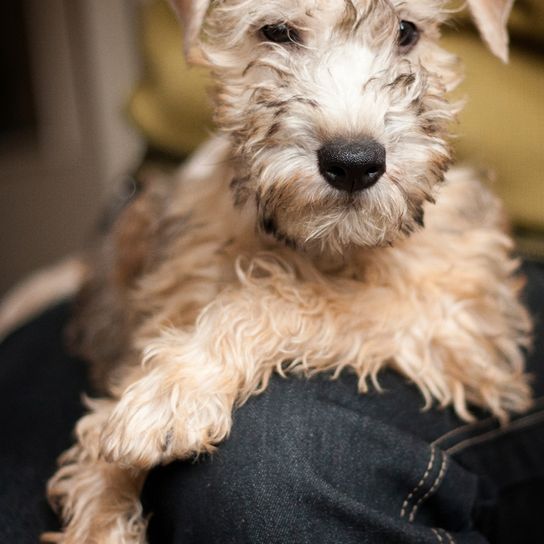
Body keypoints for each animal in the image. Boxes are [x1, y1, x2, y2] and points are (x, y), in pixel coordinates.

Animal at [42, 2, 532, 540]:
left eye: (407, 32)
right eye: (276, 32)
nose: (354, 162)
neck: (321, 244)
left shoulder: (455, 315)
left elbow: (288, 295)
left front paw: (176, 388)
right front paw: (101, 503)